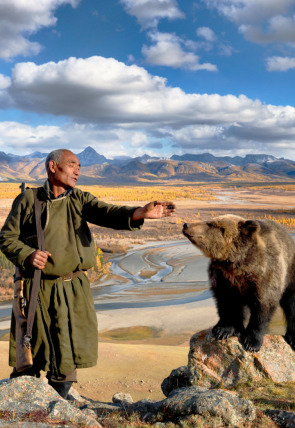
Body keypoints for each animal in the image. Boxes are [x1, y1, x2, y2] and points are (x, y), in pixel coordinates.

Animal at [183, 214, 295, 352]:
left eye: (210, 224)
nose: (186, 224)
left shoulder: (265, 275)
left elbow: (262, 307)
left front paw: (252, 341)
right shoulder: (223, 278)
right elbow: (226, 303)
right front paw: (223, 329)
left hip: (291, 274)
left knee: (292, 303)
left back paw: (292, 337)